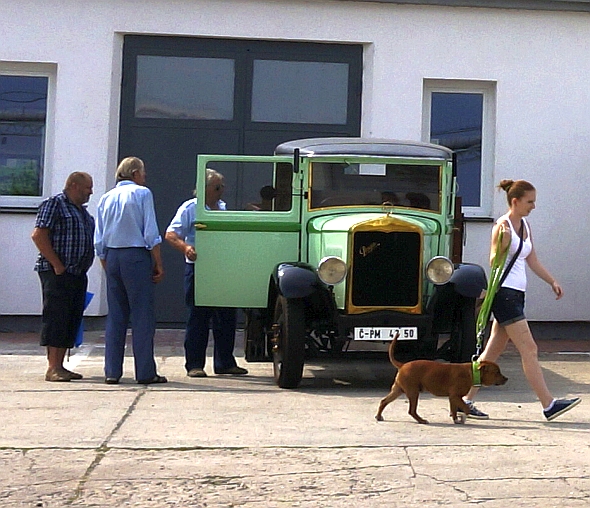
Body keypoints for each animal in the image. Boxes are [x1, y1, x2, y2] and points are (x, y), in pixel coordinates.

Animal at [374, 334, 508, 424]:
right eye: (497, 372)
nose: (506, 379)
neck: (473, 372)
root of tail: (403, 365)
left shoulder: (453, 397)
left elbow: (453, 409)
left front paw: (456, 419)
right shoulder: (455, 396)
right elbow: (465, 408)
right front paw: (463, 416)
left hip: (398, 390)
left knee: (384, 401)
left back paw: (379, 416)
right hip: (413, 392)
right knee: (411, 410)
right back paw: (421, 420)